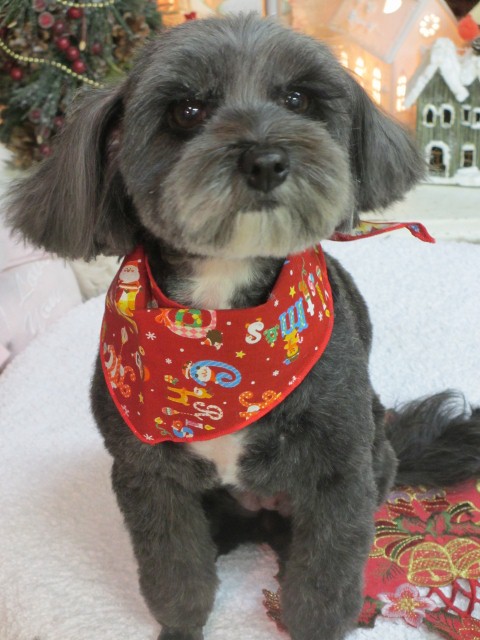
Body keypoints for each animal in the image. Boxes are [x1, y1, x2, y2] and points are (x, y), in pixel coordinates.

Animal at [6, 14, 480, 640]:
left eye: (297, 99)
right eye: (186, 110)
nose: (266, 160)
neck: (221, 322)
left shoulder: (339, 477)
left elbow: (324, 584)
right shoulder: (149, 478)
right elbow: (175, 573)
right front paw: (181, 627)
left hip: (374, 455)